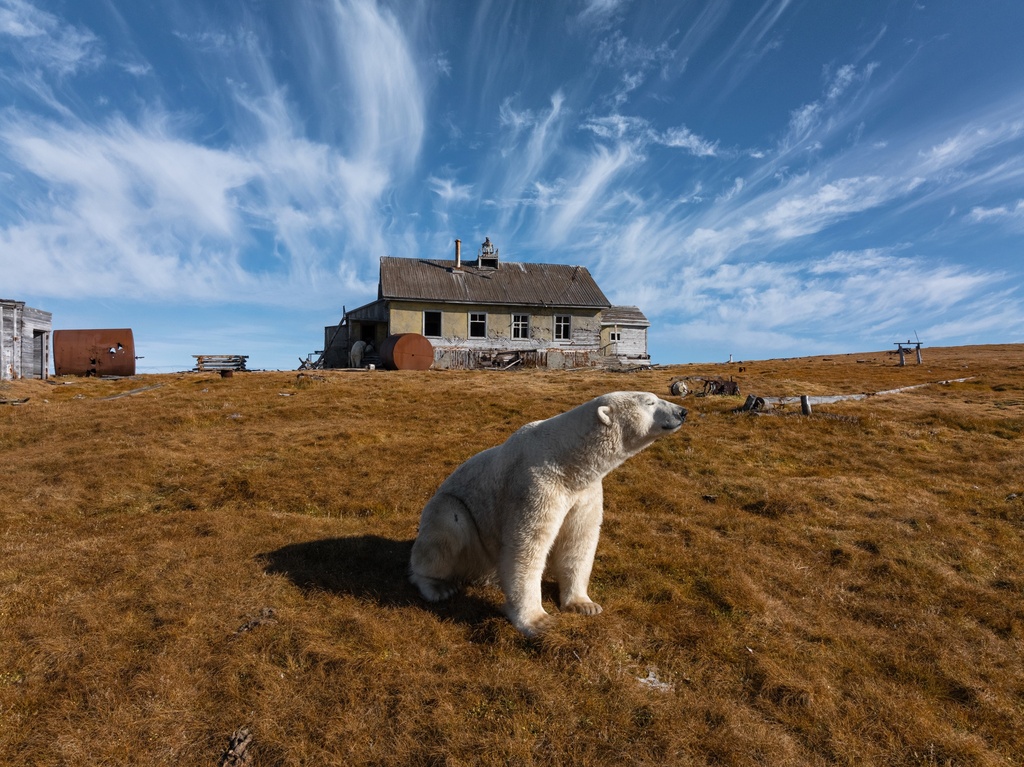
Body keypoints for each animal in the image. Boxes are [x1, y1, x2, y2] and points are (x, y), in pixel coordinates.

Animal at [409, 391, 687, 636]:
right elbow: (528, 545)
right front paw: (539, 621)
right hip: (455, 520)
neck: (568, 460)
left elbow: (578, 540)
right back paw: (438, 587)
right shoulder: (536, 484)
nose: (682, 411)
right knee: (445, 530)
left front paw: (585, 605)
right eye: (650, 402)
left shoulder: (585, 492)